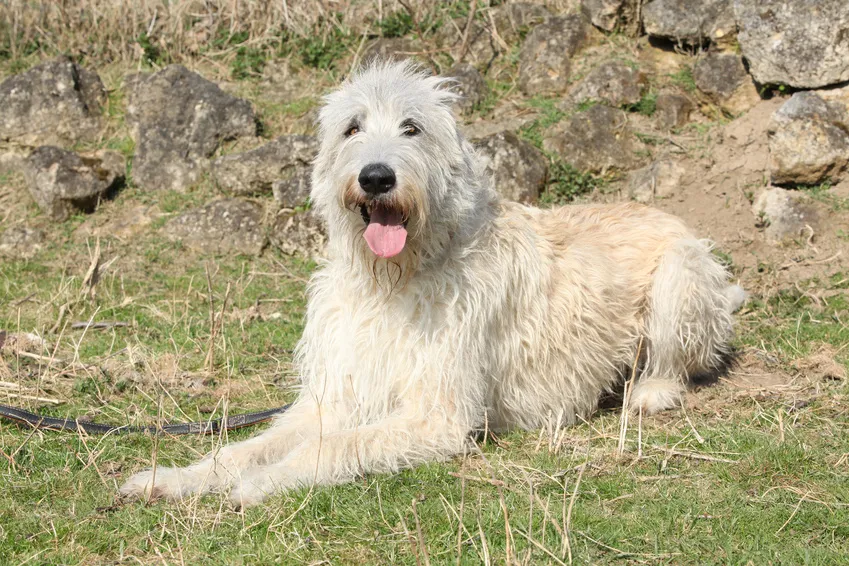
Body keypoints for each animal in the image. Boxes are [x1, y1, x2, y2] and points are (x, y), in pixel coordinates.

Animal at [117, 62, 744, 510]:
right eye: (352, 127)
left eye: (412, 127)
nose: (376, 177)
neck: (394, 279)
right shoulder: (335, 395)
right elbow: (248, 445)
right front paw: (177, 478)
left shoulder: (435, 416)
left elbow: (338, 444)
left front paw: (264, 483)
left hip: (682, 277)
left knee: (675, 362)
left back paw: (650, 390)